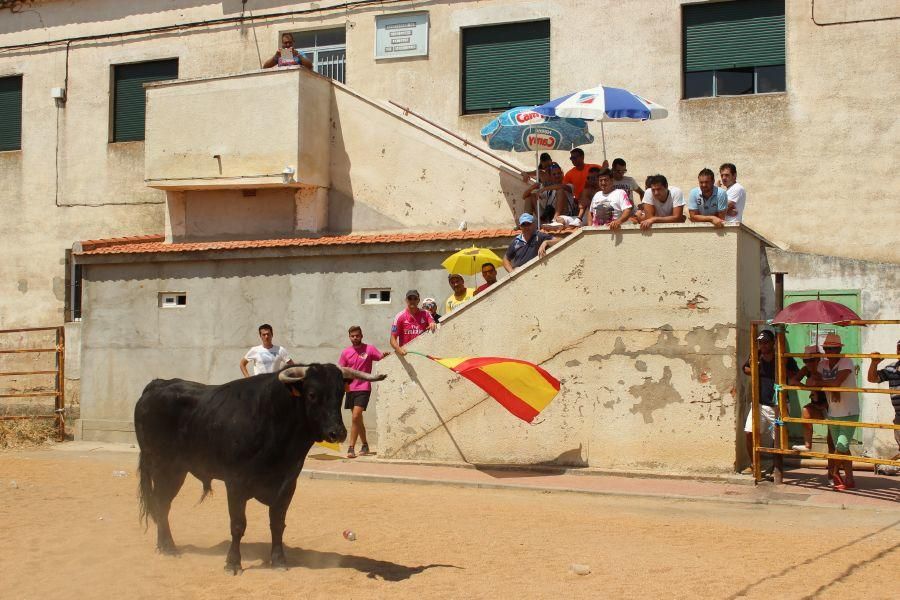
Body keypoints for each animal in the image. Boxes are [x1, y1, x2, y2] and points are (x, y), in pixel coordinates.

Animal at [135, 360, 384, 572]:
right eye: (312, 394)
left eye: (340, 394)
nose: (337, 433)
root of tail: (157, 385)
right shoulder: (235, 483)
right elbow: (238, 525)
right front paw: (233, 563)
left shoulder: (287, 484)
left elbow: (277, 523)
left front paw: (279, 560)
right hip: (165, 467)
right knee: (161, 504)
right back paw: (169, 547)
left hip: (175, 470)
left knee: (162, 504)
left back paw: (164, 545)